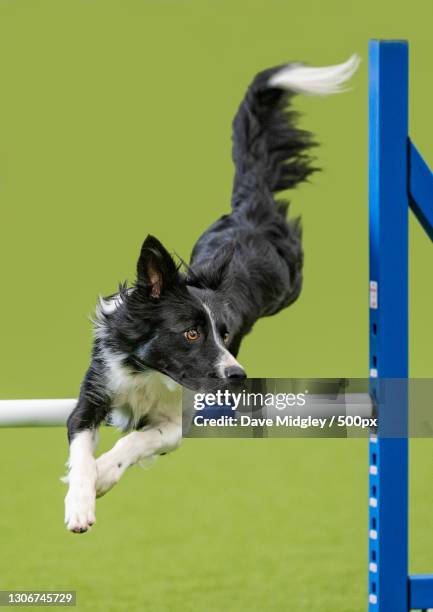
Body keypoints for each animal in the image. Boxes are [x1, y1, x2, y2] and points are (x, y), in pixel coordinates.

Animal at [64, 55, 360, 532]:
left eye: (225, 333)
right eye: (190, 333)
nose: (237, 376)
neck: (150, 371)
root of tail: (250, 212)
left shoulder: (176, 422)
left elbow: (135, 443)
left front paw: (106, 474)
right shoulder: (93, 393)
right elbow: (80, 450)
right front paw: (80, 503)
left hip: (288, 283)